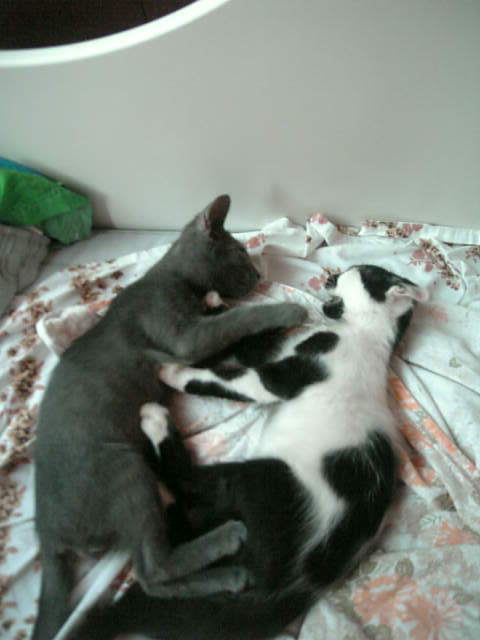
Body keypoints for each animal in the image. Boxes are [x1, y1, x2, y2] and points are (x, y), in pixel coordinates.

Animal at [32, 194, 307, 640]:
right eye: (239, 252)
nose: (256, 273)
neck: (173, 277)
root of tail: (47, 531)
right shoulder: (185, 337)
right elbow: (239, 319)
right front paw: (288, 310)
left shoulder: (198, 348)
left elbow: (229, 329)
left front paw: (226, 308)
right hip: (123, 467)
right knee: (152, 571)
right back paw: (227, 550)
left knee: (155, 579)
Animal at [78, 264, 427, 640]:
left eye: (355, 271)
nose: (331, 275)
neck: (362, 335)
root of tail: (297, 581)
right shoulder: (274, 353)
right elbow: (244, 342)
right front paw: (215, 301)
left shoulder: (278, 378)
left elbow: (224, 379)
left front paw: (173, 370)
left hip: (265, 480)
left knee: (193, 482)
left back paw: (155, 423)